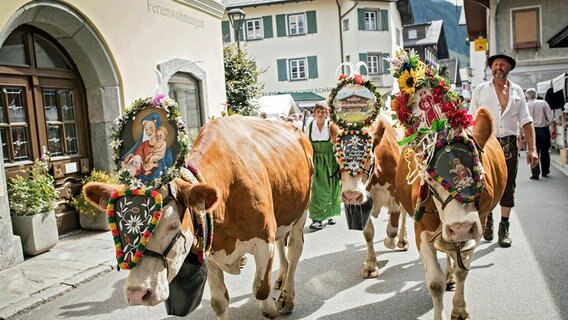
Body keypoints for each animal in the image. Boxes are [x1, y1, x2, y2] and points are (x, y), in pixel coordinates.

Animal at [84, 94, 312, 318]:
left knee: (294, 248)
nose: (137, 293)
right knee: (283, 242)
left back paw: (286, 296)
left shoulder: (265, 241)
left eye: (173, 225)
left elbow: (261, 291)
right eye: (119, 228)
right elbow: (219, 302)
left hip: (302, 211)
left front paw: (272, 307)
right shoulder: (208, 246)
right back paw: (280, 277)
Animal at [328, 62, 408, 278]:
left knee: (404, 216)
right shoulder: (363, 202)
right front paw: (371, 265)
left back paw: (402, 240)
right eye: (337, 156)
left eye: (368, 157)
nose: (350, 195)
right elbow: (368, 233)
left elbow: (391, 227)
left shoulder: (395, 194)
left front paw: (390, 241)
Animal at [390, 50, 506, 320]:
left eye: (478, 173)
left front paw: (459, 308)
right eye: (430, 180)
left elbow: (463, 269)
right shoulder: (421, 229)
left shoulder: (477, 224)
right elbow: (435, 282)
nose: (460, 227)